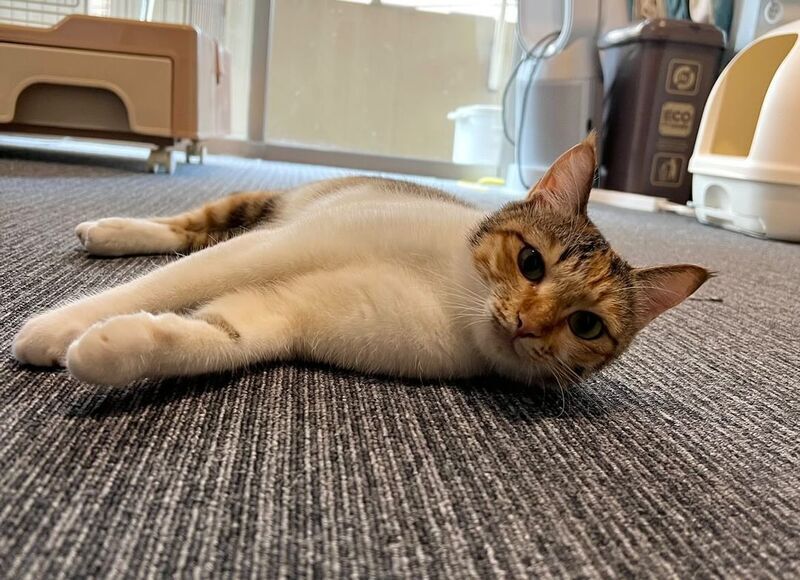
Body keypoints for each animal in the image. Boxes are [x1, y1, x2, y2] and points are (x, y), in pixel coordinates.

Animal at [11, 134, 709, 387]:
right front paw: (47, 330)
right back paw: (107, 230)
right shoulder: (280, 246)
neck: (448, 294)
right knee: (191, 231)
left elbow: (212, 338)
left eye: (586, 324)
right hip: (264, 212)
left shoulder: (284, 314)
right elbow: (167, 284)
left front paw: (104, 350)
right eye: (531, 262)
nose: (526, 325)